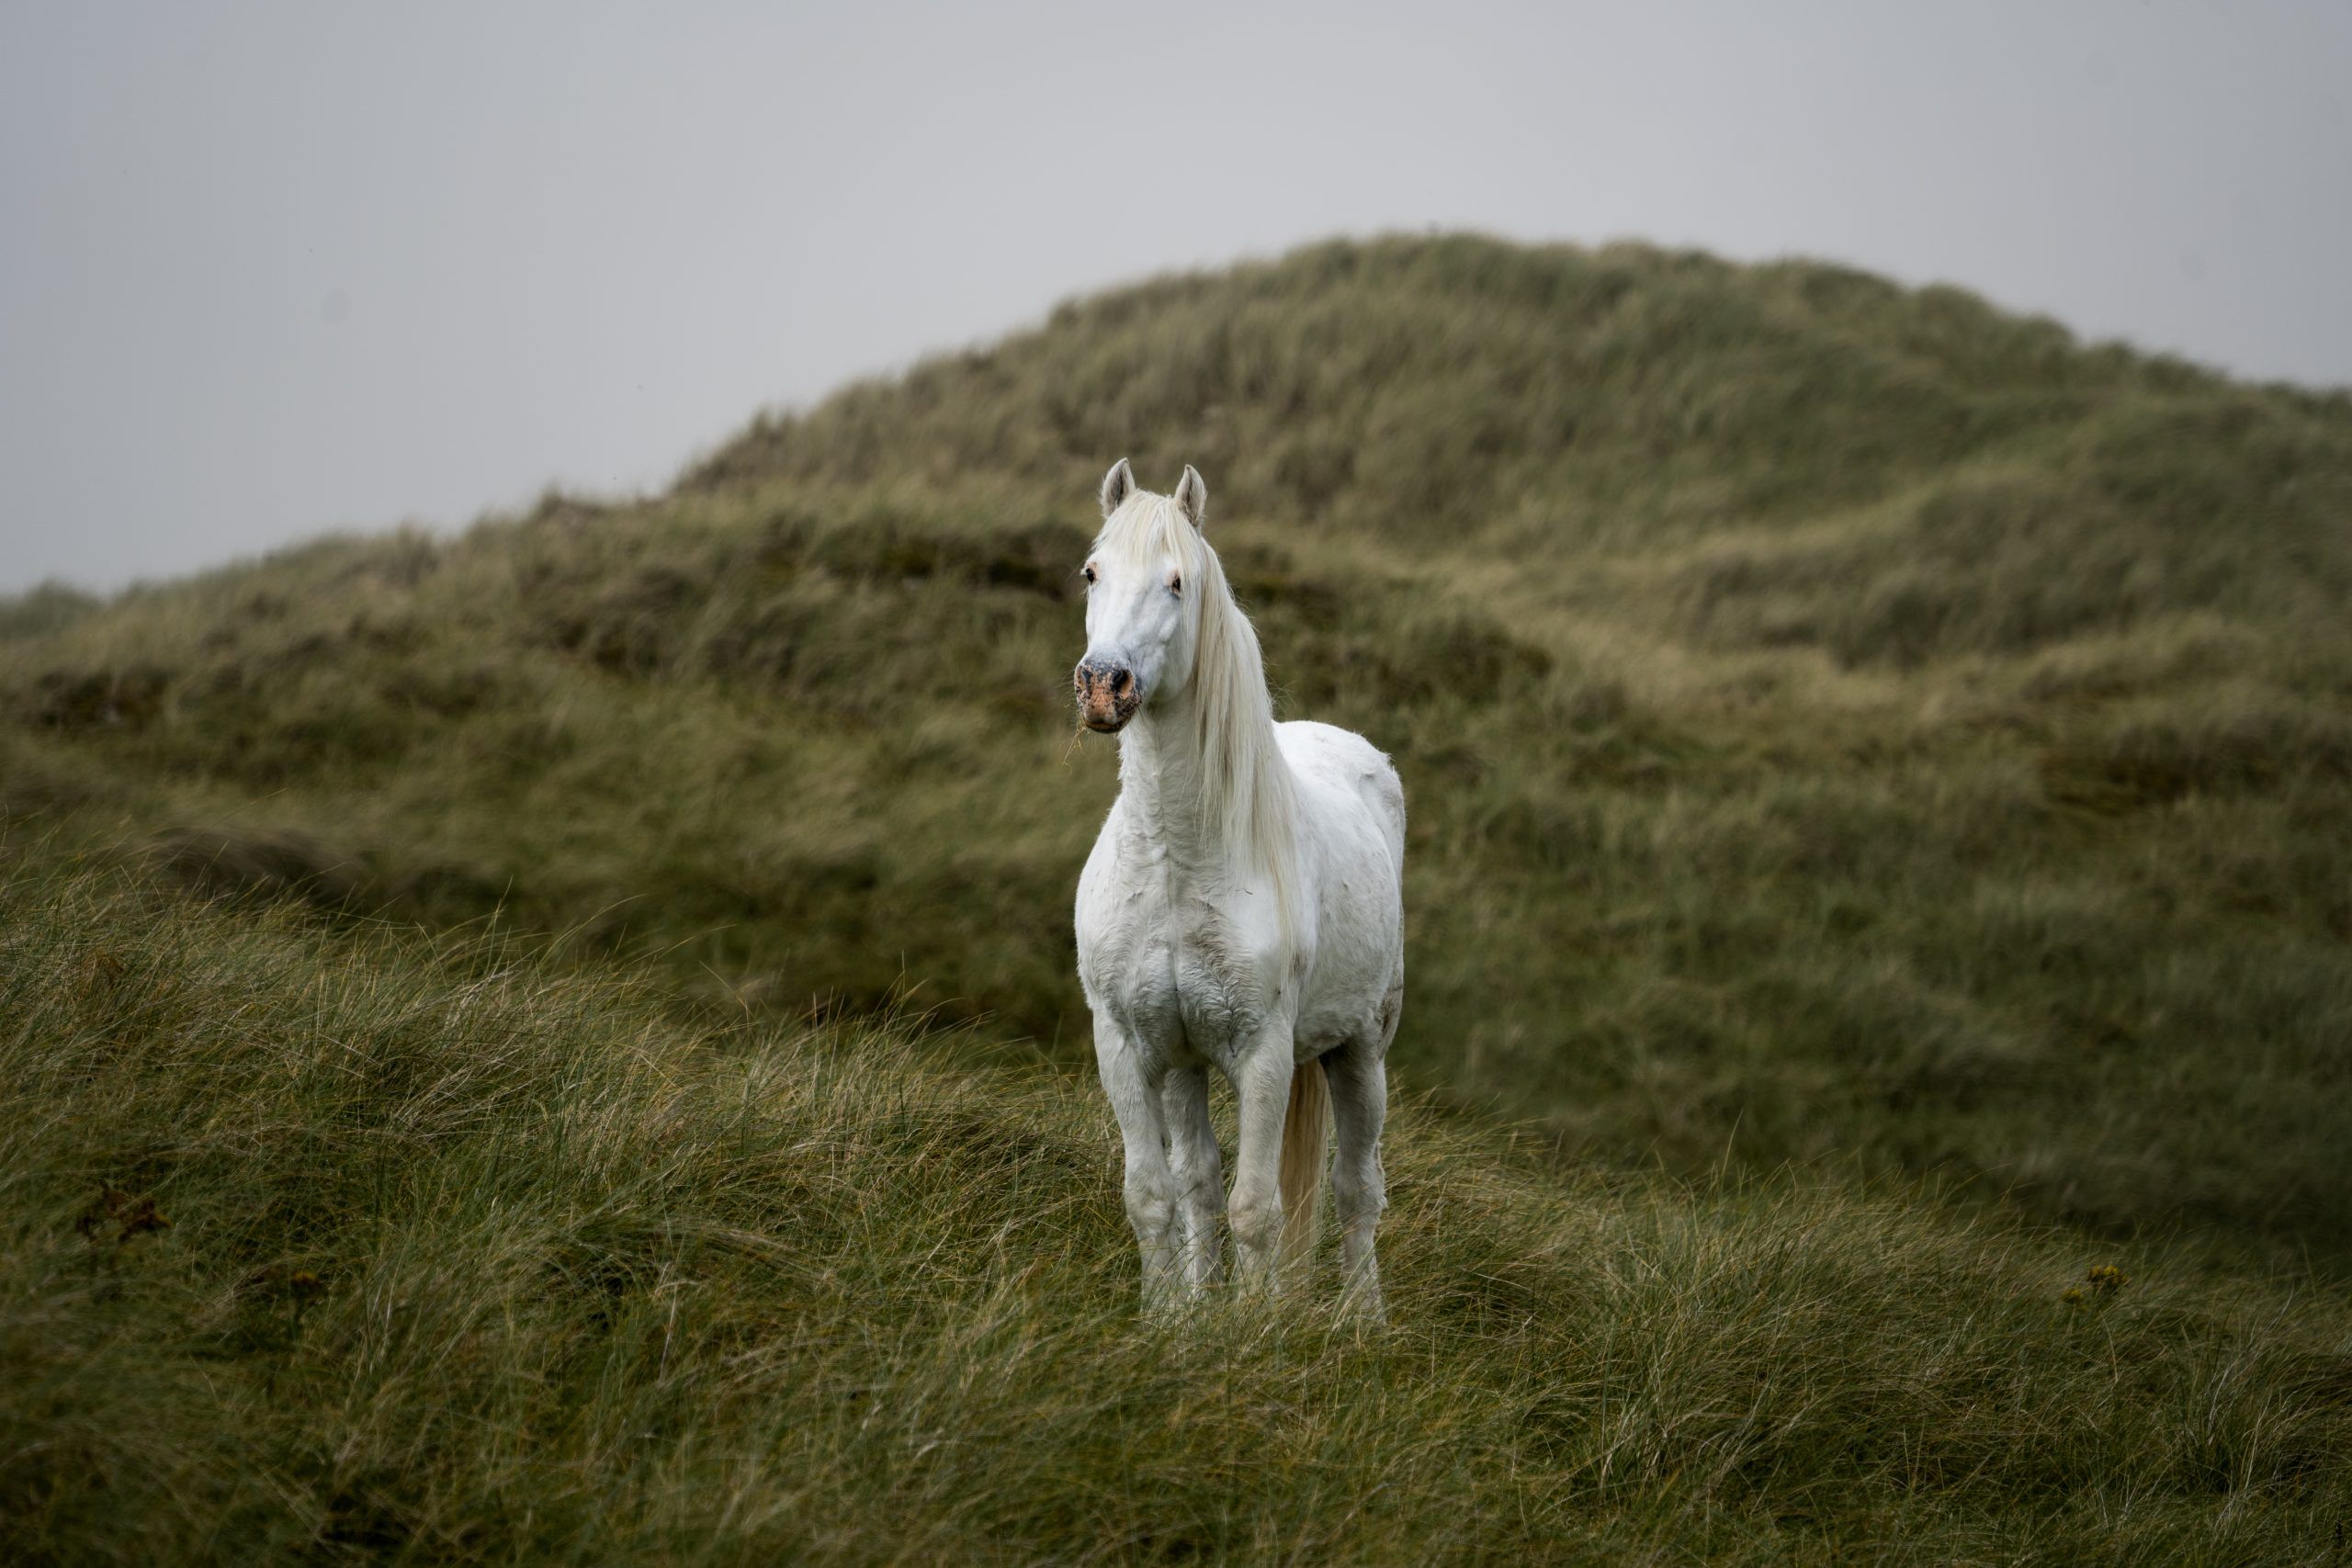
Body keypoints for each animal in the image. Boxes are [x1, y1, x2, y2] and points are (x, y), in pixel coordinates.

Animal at [1072, 458, 1405, 1317]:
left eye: (1177, 583)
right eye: (1092, 572)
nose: (1103, 684)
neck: (1177, 862)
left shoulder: (1262, 1052)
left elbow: (1258, 1208)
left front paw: (1253, 1334)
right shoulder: (1129, 1045)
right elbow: (1157, 1194)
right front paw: (1170, 1322)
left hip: (1362, 1049)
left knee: (1357, 1190)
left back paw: (1363, 1321)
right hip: (1188, 1066)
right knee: (1198, 1182)